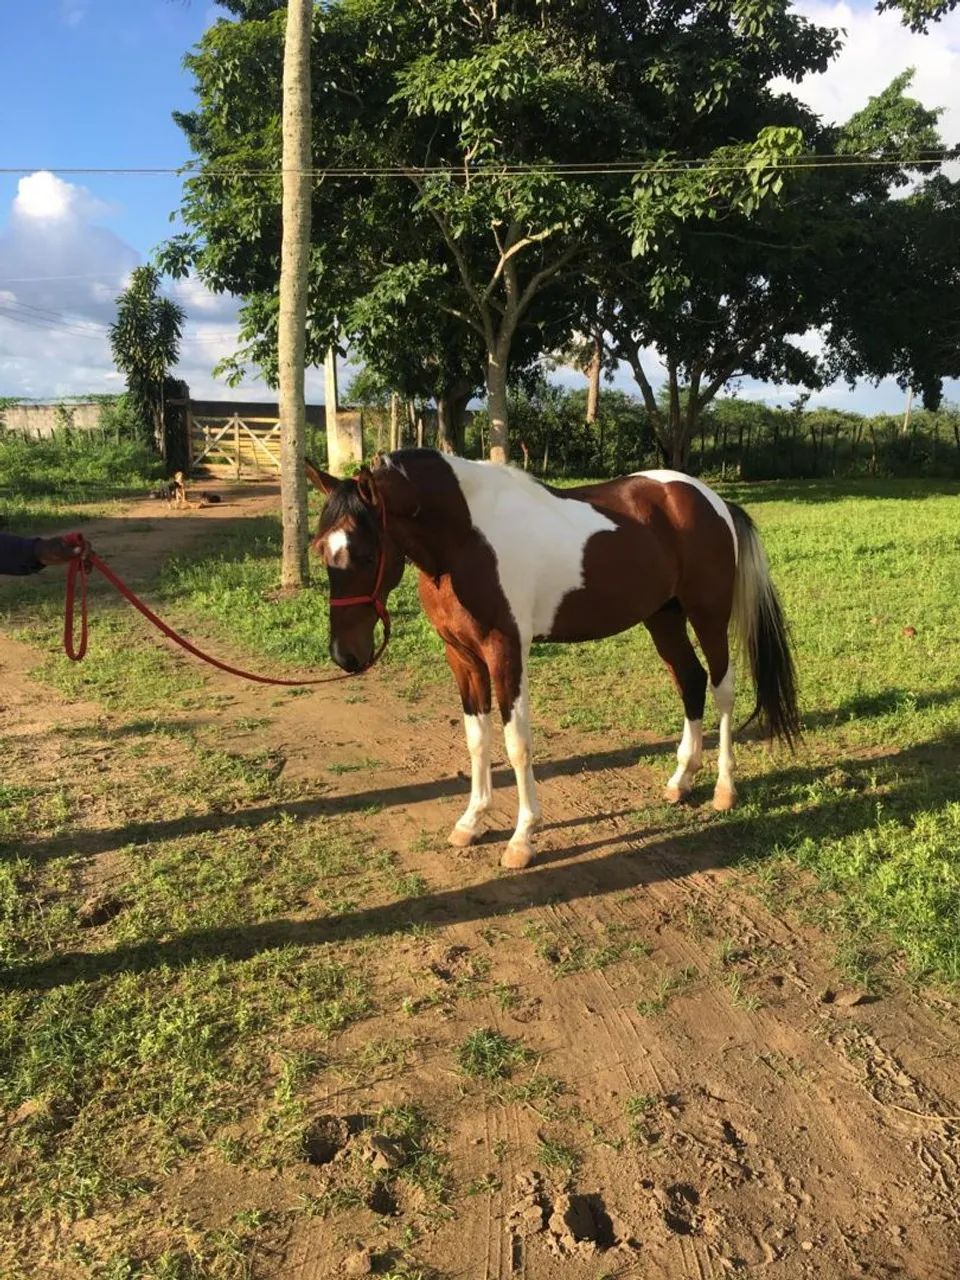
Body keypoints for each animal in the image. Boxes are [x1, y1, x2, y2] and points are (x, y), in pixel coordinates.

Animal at [305, 449, 799, 869]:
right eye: (322, 550)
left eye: (367, 553)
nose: (345, 655)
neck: (465, 539)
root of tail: (712, 500)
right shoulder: (462, 657)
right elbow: (477, 739)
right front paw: (472, 821)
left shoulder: (506, 651)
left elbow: (516, 743)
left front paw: (522, 839)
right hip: (664, 618)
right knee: (690, 682)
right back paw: (681, 782)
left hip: (707, 615)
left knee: (722, 690)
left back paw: (724, 789)